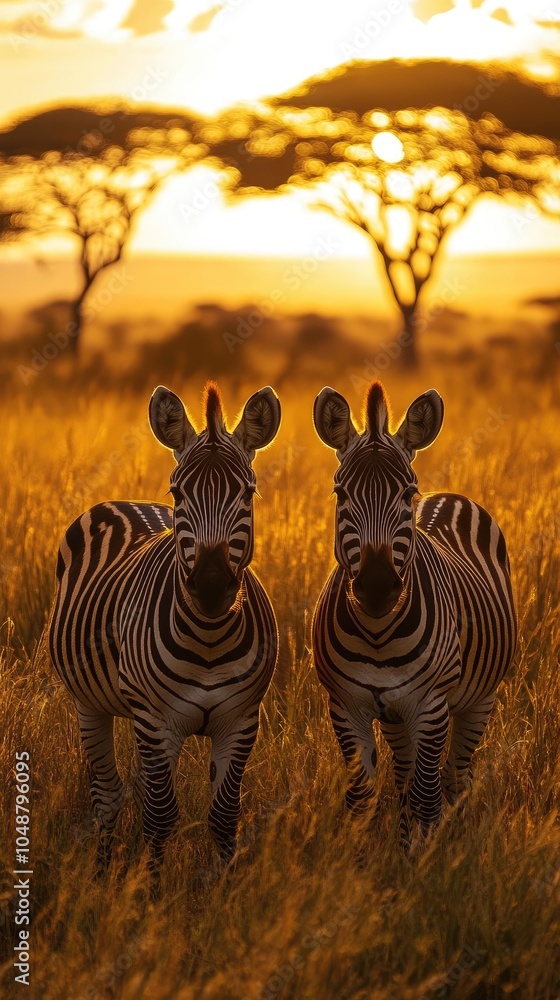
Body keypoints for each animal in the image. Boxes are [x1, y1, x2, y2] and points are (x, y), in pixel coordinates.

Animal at [49, 382, 281, 881]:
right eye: (179, 492)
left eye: (248, 492)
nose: (211, 585)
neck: (210, 637)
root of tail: (128, 503)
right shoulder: (156, 721)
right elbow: (159, 816)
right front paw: (149, 893)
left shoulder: (241, 720)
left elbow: (223, 815)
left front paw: (225, 890)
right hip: (89, 704)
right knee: (108, 795)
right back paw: (101, 875)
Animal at [312, 381, 516, 845]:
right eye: (340, 494)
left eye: (407, 494)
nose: (377, 587)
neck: (377, 633)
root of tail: (448, 496)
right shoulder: (346, 706)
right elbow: (362, 798)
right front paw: (363, 858)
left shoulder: (431, 704)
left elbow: (428, 795)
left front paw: (425, 859)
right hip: (397, 718)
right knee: (405, 774)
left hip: (479, 699)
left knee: (455, 776)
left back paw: (452, 840)